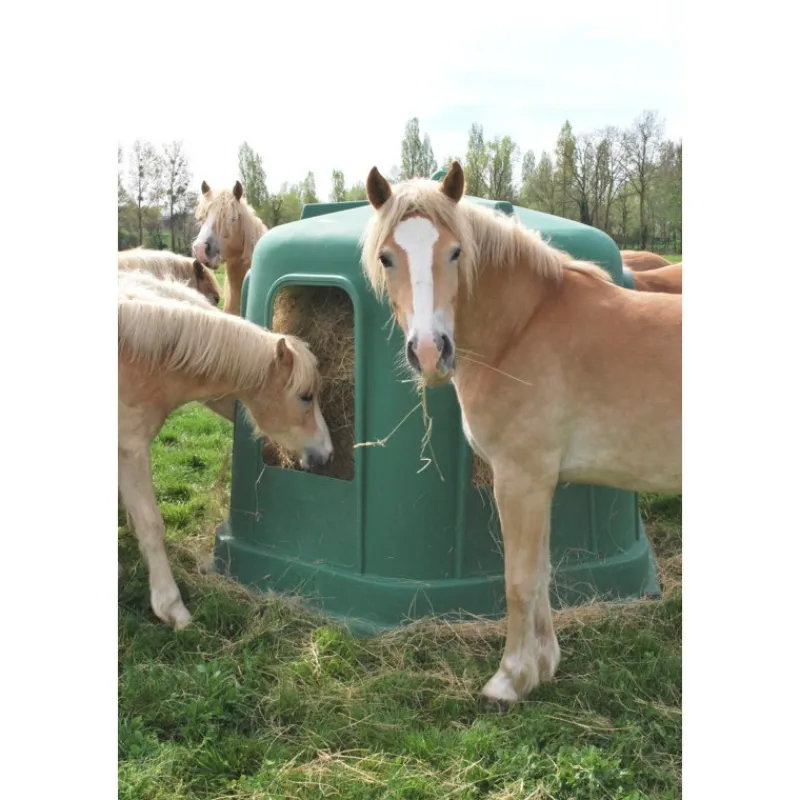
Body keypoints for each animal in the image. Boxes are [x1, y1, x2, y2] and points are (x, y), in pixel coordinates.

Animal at [118, 271, 333, 629]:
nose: (327, 453)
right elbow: (151, 525)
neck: (140, 360)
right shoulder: (131, 449)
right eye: (305, 396)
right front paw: (172, 608)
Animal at [361, 161, 681, 706]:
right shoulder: (541, 483)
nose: (429, 352)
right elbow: (542, 573)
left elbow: (518, 581)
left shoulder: (520, 480)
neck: (523, 329)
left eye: (455, 251)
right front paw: (544, 665)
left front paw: (509, 679)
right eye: (388, 258)